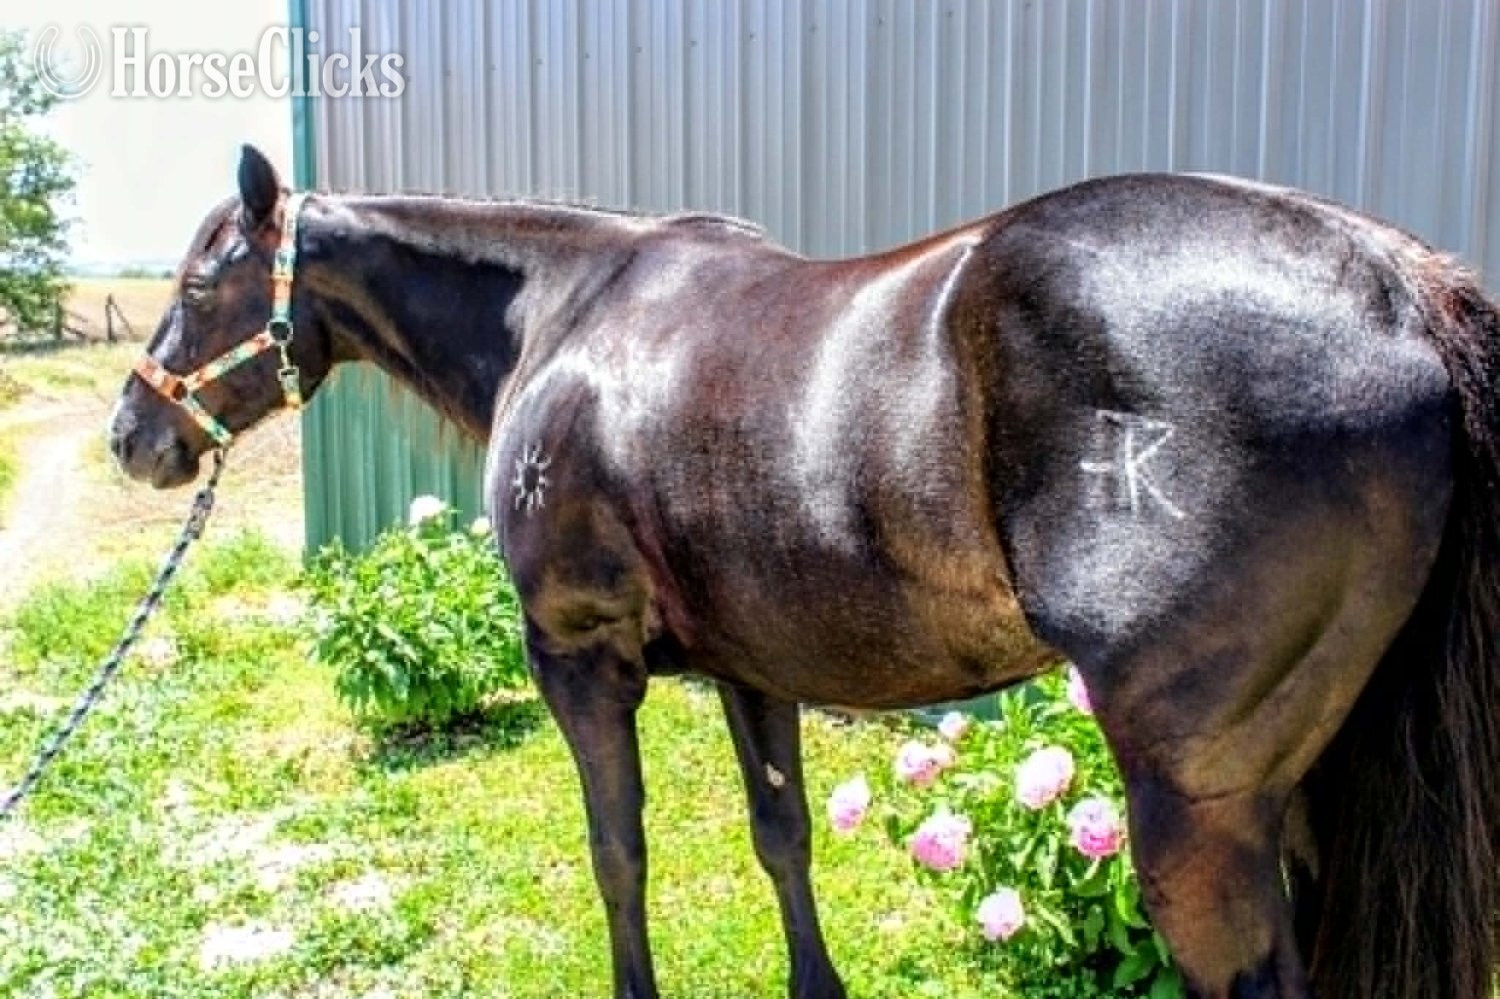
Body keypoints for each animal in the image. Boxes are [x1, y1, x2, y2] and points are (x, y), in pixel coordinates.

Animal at [108, 144, 1497, 999]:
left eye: (200, 277)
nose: (133, 436)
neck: (566, 313)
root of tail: (1399, 284)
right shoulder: (750, 665)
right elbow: (783, 839)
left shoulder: (580, 658)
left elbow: (618, 849)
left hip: (1196, 805)